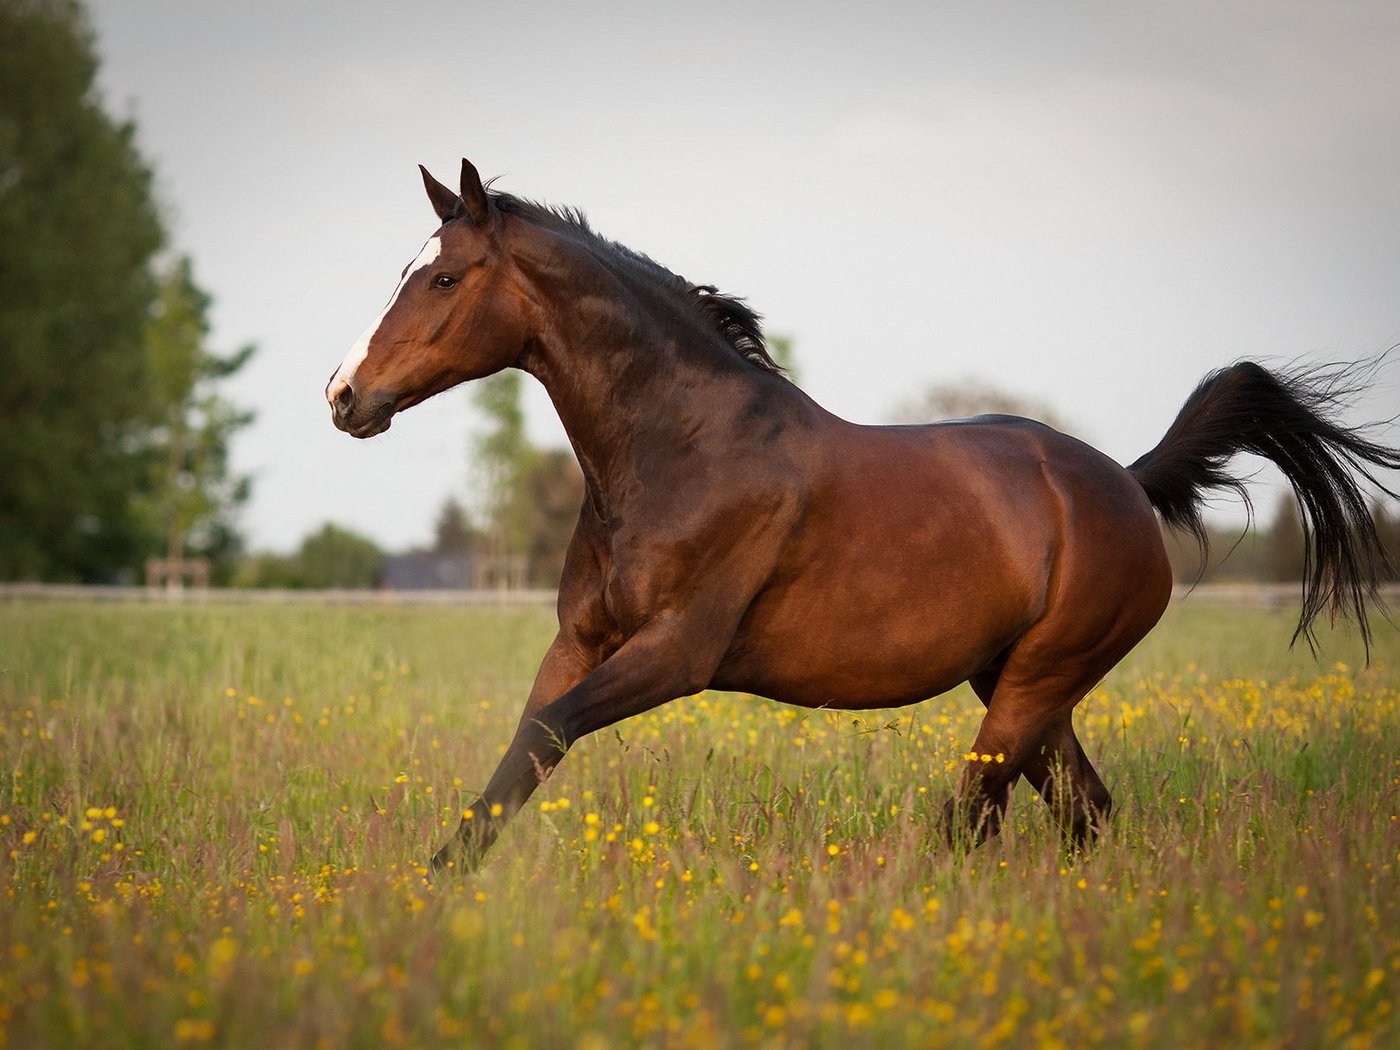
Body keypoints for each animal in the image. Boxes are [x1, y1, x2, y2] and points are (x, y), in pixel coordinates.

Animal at [322, 158, 1394, 879]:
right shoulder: (581, 641)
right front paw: (435, 885)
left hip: (1033, 685)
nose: (342, 396)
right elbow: (524, 751)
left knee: (977, 818)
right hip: (1022, 683)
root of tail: (1126, 486)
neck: (683, 450)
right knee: (1081, 810)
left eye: (443, 277)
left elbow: (548, 733)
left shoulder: (677, 654)